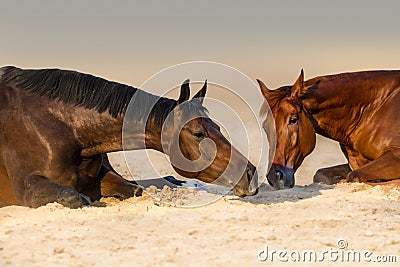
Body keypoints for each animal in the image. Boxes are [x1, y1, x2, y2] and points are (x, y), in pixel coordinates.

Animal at [0, 66, 256, 208]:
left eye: (218, 127)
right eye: (198, 133)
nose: (250, 174)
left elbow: (134, 190)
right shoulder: (27, 188)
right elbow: (74, 197)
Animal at [258, 70, 400, 189]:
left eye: (293, 120)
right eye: (265, 126)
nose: (275, 178)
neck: (372, 109)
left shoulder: (395, 155)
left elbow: (353, 176)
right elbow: (321, 174)